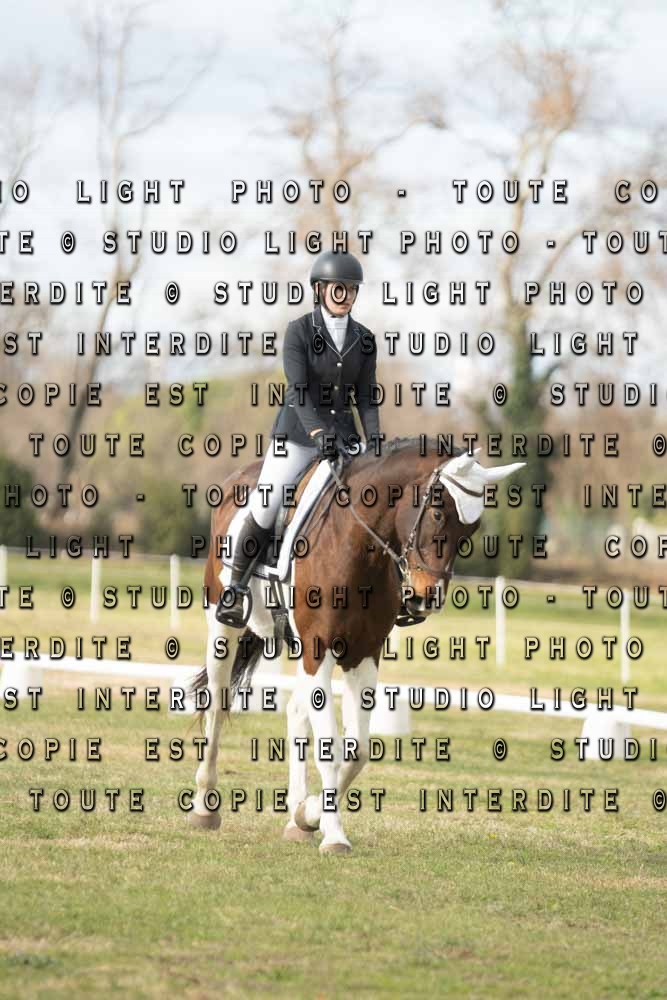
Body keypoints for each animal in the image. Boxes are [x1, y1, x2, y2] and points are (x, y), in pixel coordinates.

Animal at [187, 437, 524, 854]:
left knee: (295, 710)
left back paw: (296, 815)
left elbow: (358, 749)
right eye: (437, 513)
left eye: (471, 528)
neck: (356, 544)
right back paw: (205, 807)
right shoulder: (319, 649)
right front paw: (333, 834)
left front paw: (311, 814)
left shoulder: (362, 652)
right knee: (218, 703)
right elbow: (330, 748)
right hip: (223, 625)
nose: (427, 597)